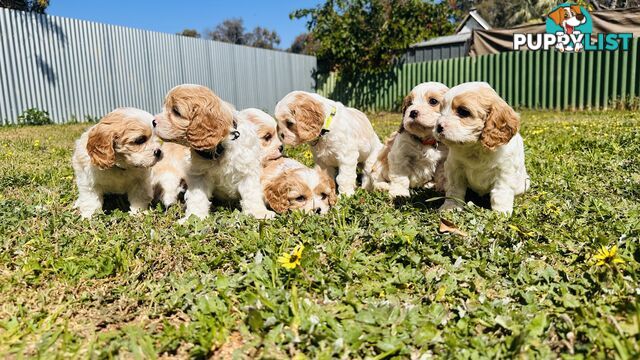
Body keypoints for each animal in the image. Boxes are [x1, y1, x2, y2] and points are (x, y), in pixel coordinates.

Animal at [155, 84, 276, 221]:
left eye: (176, 111)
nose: (153, 122)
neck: (219, 148)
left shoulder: (247, 169)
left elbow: (251, 193)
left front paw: (259, 213)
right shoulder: (199, 176)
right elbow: (197, 197)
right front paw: (194, 216)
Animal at [436, 82, 528, 214]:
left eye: (463, 111)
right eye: (441, 110)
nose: (438, 127)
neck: (476, 147)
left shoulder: (505, 171)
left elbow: (501, 192)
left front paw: (501, 212)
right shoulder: (454, 168)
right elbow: (454, 189)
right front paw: (450, 207)